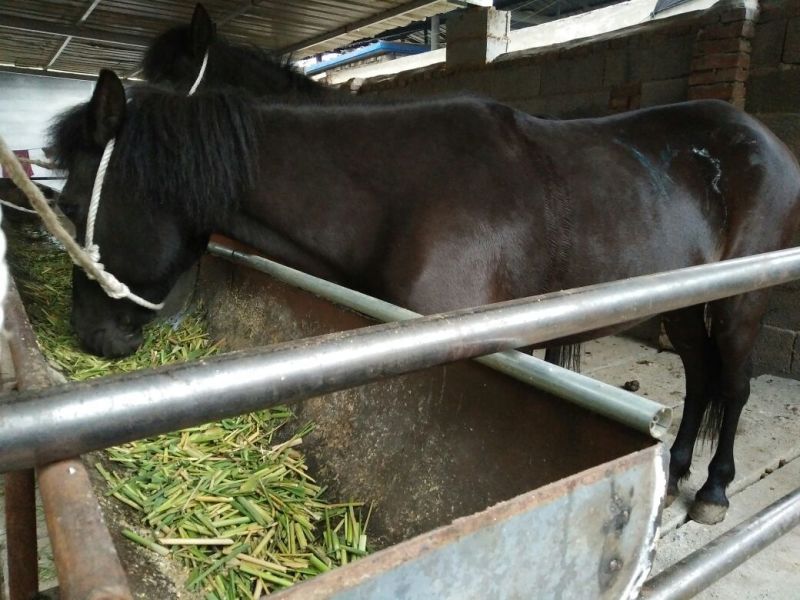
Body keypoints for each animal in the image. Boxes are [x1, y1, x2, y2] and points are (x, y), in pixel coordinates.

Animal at [50, 69, 800, 525]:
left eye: (70, 202)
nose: (91, 335)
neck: (400, 199)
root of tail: (768, 142)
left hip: (741, 302)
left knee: (734, 386)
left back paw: (713, 488)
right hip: (682, 304)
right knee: (700, 376)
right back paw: (677, 470)